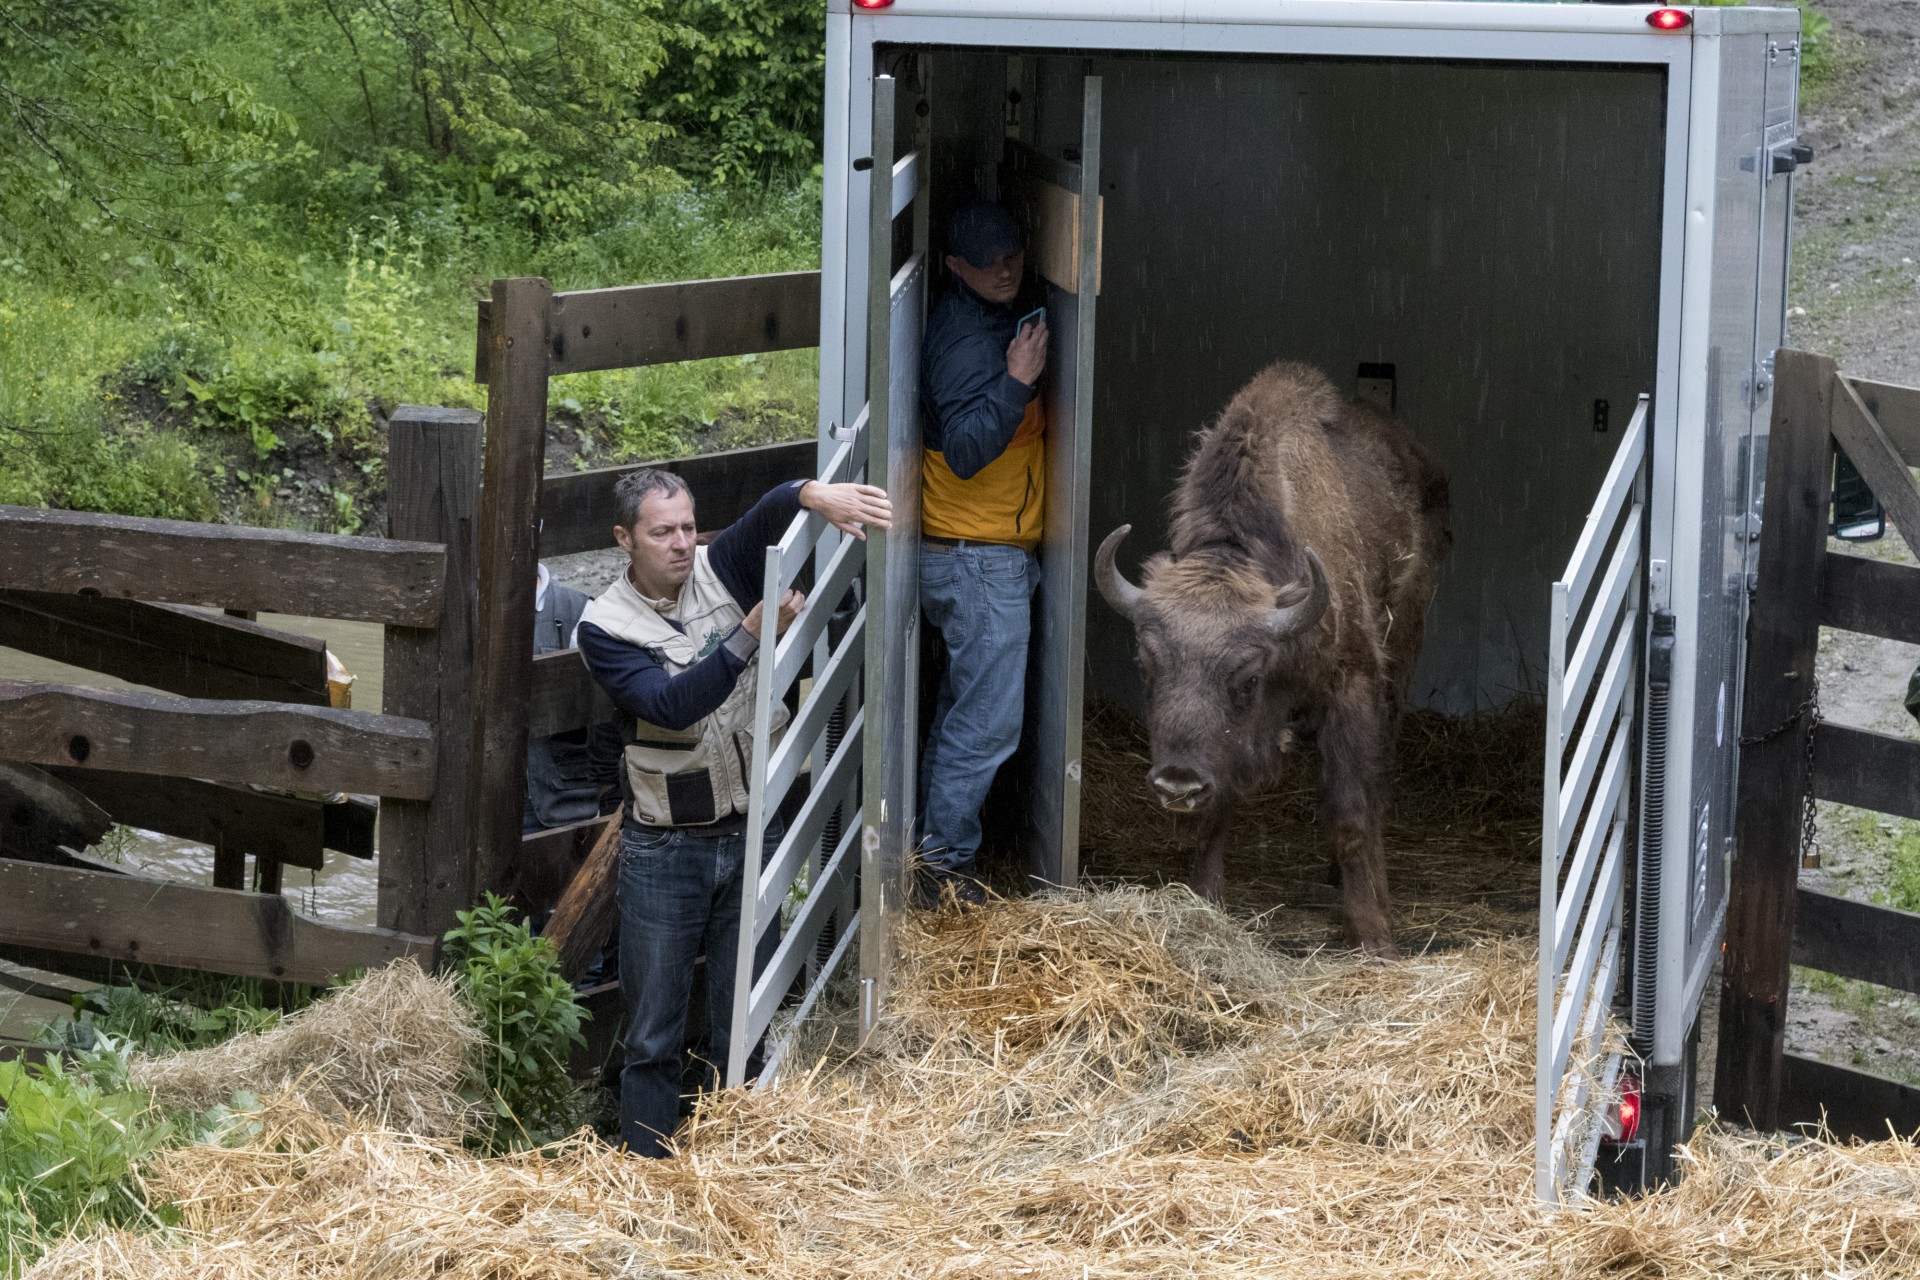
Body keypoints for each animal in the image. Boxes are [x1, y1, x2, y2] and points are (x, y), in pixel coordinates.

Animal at [1090, 360, 1443, 951]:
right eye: (1146, 665)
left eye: (1247, 678)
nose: (1177, 784)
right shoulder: (1220, 755)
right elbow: (1217, 813)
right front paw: (1205, 899)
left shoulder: (1350, 689)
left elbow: (1351, 813)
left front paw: (1374, 936)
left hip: (1402, 661)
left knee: (1376, 788)